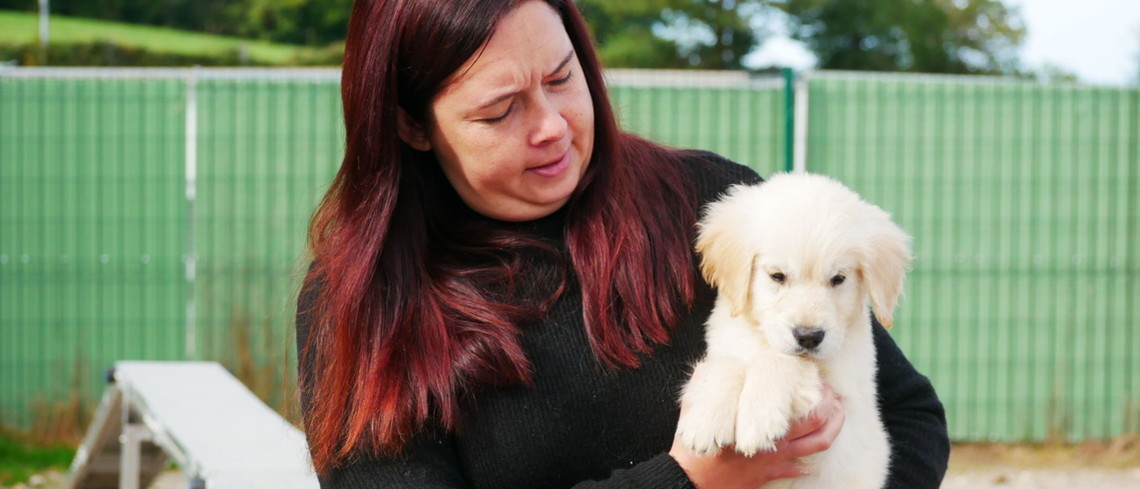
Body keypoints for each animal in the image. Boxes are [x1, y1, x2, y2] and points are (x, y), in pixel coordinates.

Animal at [674, 172, 907, 487]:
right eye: (777, 276)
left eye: (838, 279)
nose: (809, 337)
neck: (761, 340)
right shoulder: (726, 342)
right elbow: (725, 363)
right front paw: (706, 419)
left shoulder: (839, 407)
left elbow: (786, 360)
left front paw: (758, 418)